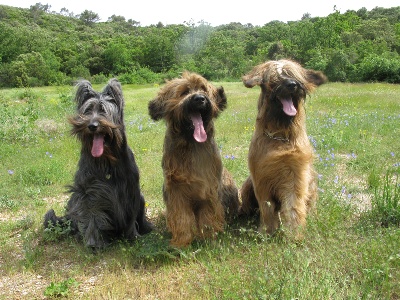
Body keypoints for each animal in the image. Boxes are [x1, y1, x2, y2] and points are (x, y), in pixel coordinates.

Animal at [43, 78, 153, 250]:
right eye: (87, 111)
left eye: (103, 110)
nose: (92, 126)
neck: (106, 160)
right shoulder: (90, 193)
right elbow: (93, 216)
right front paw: (95, 243)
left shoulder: (130, 190)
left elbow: (130, 216)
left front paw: (133, 236)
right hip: (74, 201)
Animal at [148, 71, 239, 247]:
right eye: (184, 92)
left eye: (203, 89)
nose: (200, 99)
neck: (191, 144)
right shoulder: (176, 190)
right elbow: (181, 217)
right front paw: (181, 242)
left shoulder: (209, 188)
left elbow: (209, 216)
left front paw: (209, 238)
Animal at [239, 59, 326, 240]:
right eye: (275, 77)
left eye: (293, 74)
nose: (293, 85)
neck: (280, 135)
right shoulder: (261, 178)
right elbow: (267, 207)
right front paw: (267, 231)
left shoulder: (295, 175)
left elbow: (293, 205)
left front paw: (294, 233)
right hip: (248, 185)